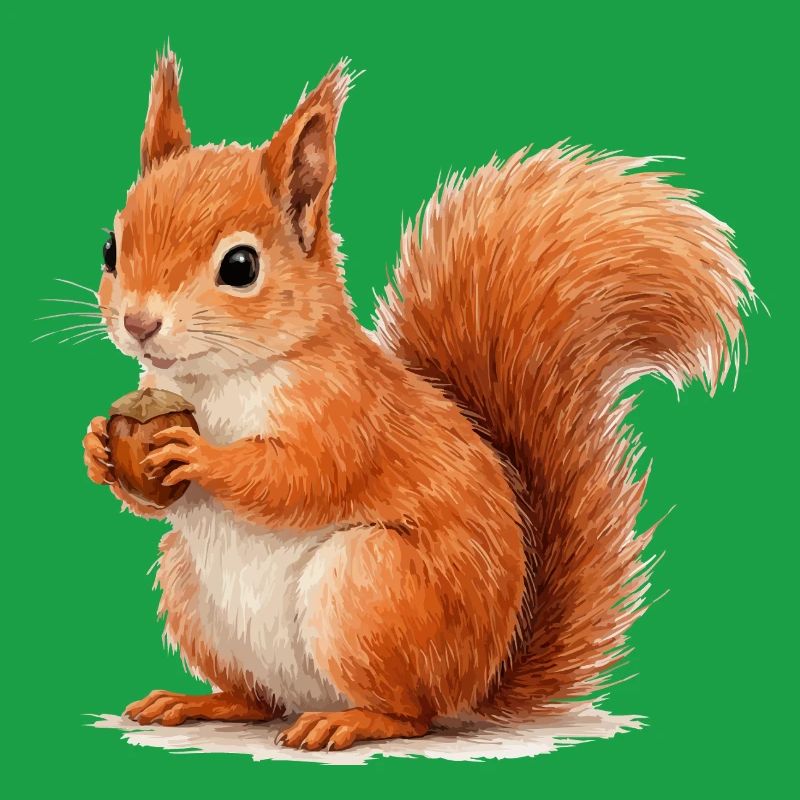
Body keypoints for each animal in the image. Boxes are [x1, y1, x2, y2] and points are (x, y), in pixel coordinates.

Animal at [82, 50, 753, 751]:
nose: (139, 324)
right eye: (110, 247)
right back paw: (199, 701)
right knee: (258, 699)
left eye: (240, 266)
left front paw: (200, 455)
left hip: (370, 587)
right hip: (190, 589)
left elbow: (300, 478)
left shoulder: (348, 411)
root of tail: (477, 686)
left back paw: (348, 721)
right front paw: (98, 446)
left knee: (412, 714)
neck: (216, 379)